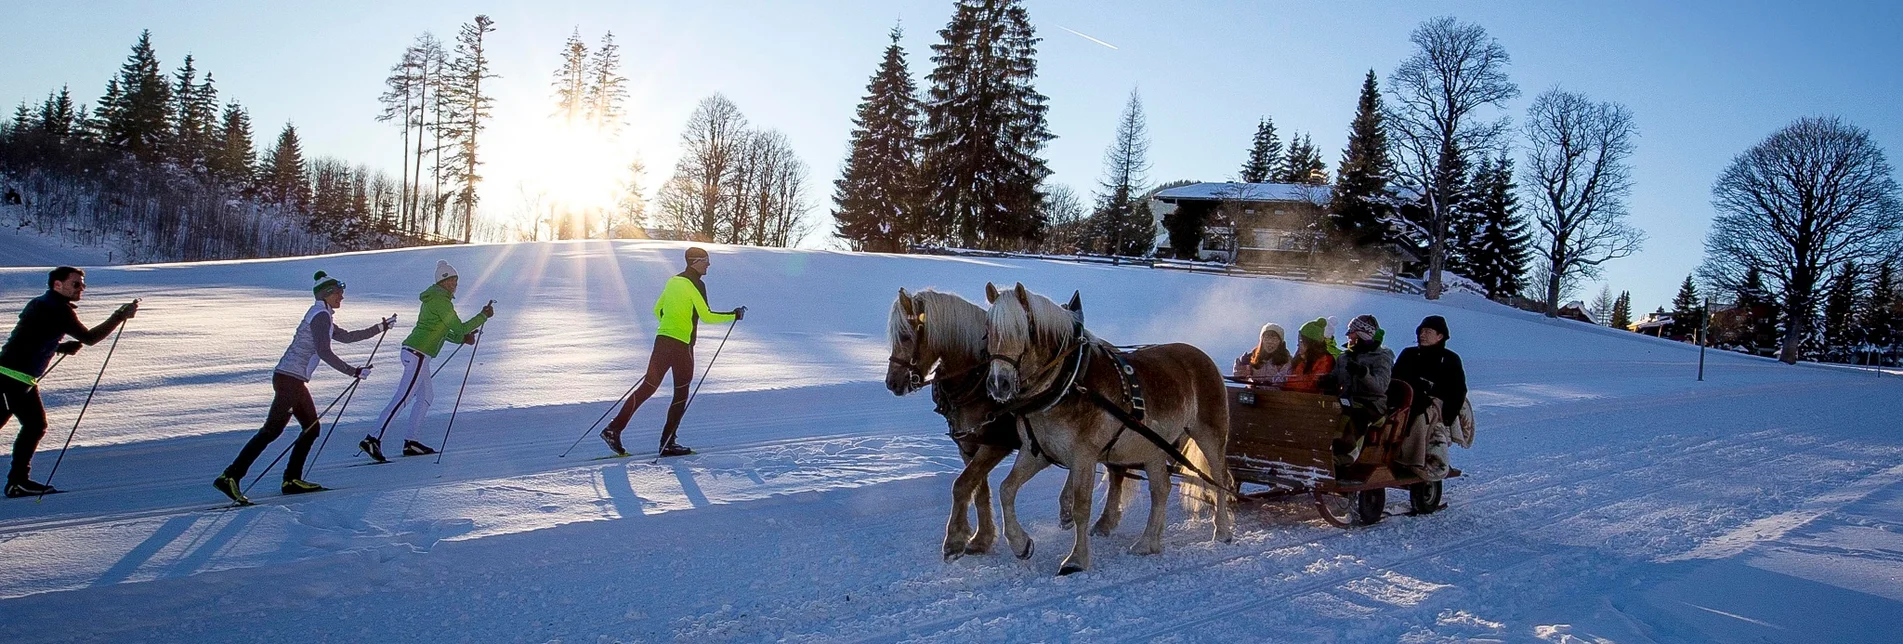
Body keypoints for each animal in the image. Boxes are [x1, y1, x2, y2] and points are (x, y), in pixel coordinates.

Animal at [882, 289, 1118, 560]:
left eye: (905, 335)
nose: (892, 382)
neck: (975, 379)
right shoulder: (968, 446)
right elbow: (978, 490)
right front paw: (981, 539)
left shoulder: (995, 445)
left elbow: (961, 485)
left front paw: (955, 539)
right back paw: (1068, 509)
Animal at [981, 281, 1233, 575]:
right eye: (988, 330)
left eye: (1024, 330)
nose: (999, 384)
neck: (1069, 384)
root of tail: (1203, 357)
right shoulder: (1038, 452)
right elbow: (1006, 489)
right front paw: (1020, 543)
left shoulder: (1084, 456)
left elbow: (1081, 506)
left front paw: (1076, 559)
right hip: (1153, 446)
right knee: (1161, 489)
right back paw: (1148, 542)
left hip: (1209, 434)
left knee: (1218, 479)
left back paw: (1222, 531)